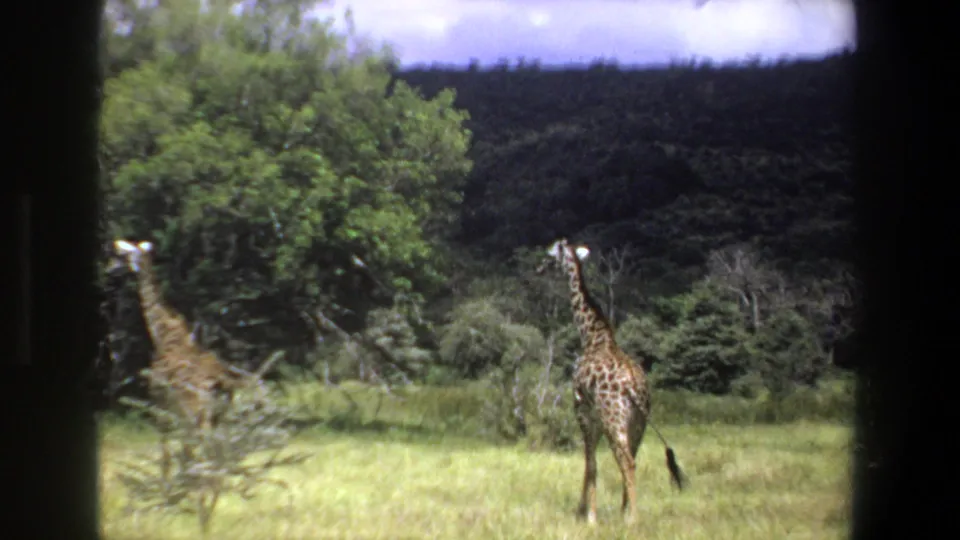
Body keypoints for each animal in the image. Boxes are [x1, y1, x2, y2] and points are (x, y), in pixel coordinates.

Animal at [108, 239, 278, 480]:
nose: (109, 269)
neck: (163, 334)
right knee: (217, 447)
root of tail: (220, 380)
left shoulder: (160, 403)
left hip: (197, 412)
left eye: (122, 255)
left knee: (205, 445)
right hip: (219, 414)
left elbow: (167, 452)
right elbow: (182, 451)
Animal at [536, 238, 684, 524]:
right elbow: (592, 463)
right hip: (637, 422)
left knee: (627, 461)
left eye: (550, 256)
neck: (594, 337)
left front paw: (589, 516)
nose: (538, 269)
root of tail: (633, 389)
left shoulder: (583, 411)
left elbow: (590, 462)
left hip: (613, 418)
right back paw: (624, 510)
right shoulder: (597, 418)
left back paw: (632, 518)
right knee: (632, 457)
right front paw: (588, 511)